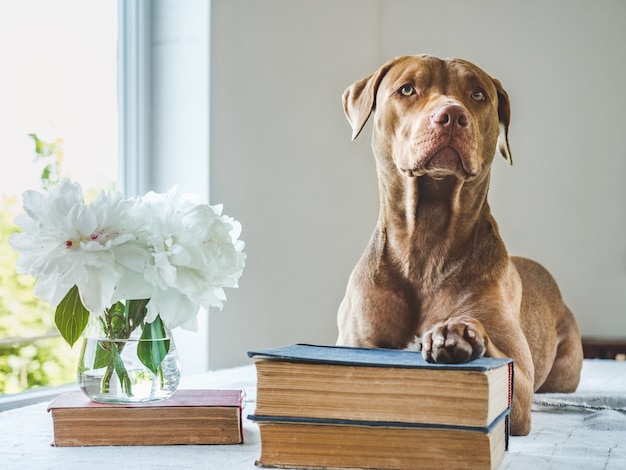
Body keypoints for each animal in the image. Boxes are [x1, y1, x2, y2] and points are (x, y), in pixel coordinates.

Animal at [334, 56, 584, 436]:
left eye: (478, 94)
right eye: (407, 89)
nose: (452, 114)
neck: (427, 242)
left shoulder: (520, 385)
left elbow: (505, 366)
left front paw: (458, 335)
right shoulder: (357, 343)